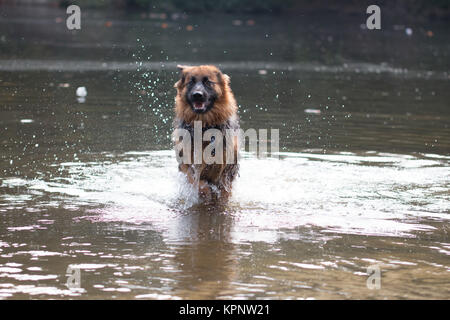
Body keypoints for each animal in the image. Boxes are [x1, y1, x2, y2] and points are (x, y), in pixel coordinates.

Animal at [174, 64, 241, 202]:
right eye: (191, 82)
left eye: (208, 82)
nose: (197, 95)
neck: (204, 125)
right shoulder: (186, 162)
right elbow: (195, 179)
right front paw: (204, 191)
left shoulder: (224, 165)